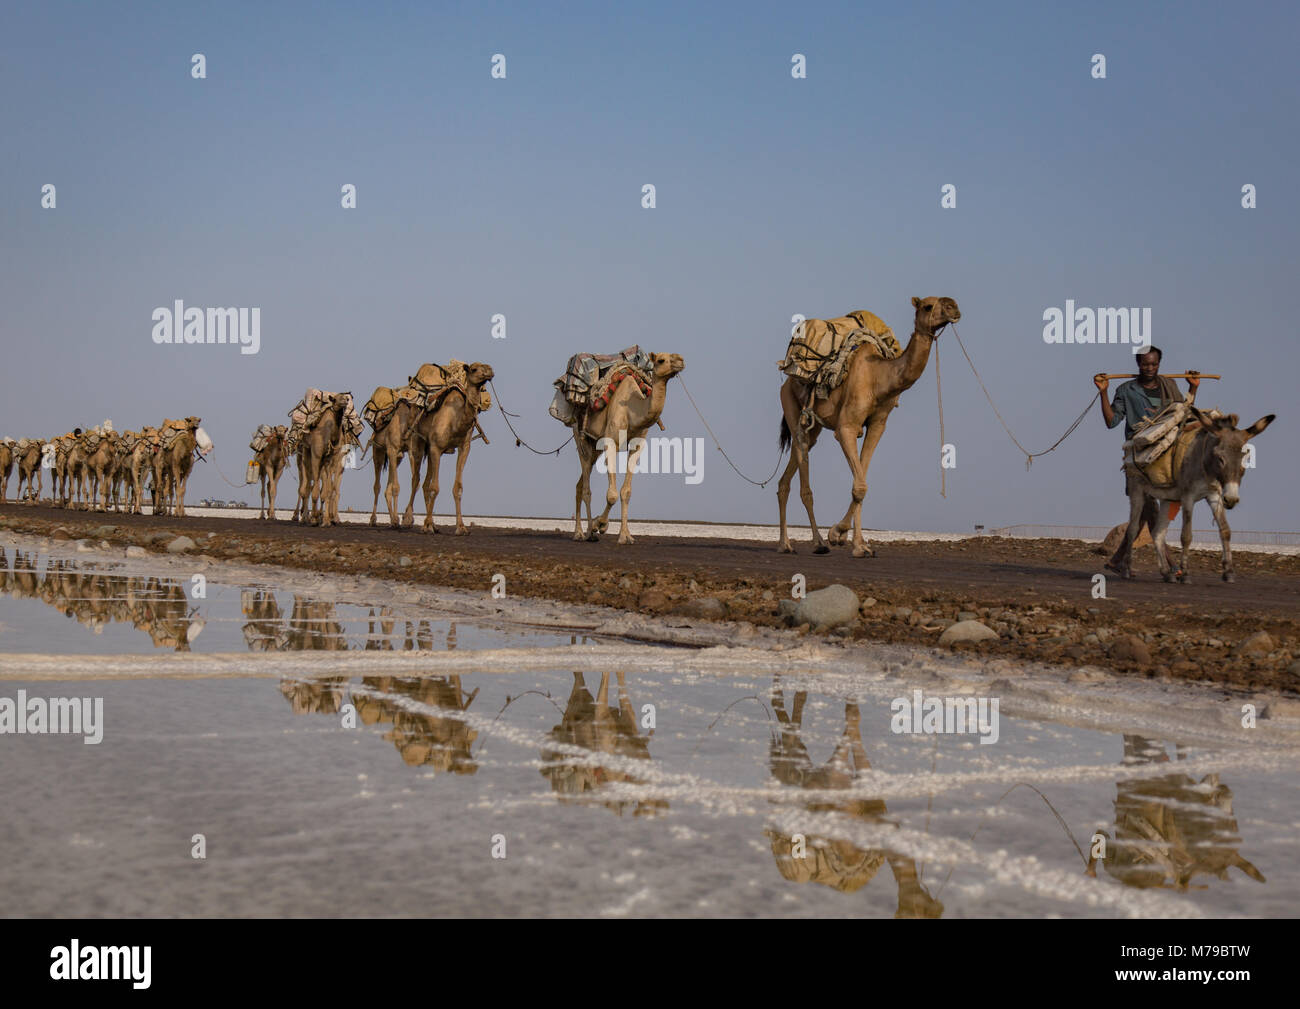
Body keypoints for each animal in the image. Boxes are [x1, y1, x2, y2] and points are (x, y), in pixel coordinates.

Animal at [400, 364, 491, 535]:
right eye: (474, 369)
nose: (489, 371)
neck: (457, 421)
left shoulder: (464, 448)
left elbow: (457, 487)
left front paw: (461, 527)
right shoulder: (436, 447)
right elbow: (434, 487)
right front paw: (427, 526)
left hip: (430, 450)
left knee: (424, 483)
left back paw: (431, 524)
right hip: (417, 441)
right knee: (416, 479)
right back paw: (408, 520)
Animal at [572, 353, 691, 543]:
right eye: (661, 360)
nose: (680, 360)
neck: (632, 409)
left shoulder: (637, 445)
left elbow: (626, 492)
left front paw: (625, 536)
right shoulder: (611, 442)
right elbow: (612, 494)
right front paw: (600, 524)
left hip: (595, 446)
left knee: (579, 484)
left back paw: (582, 532)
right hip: (580, 438)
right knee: (586, 489)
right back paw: (586, 533)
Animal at [774, 291, 961, 559]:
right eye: (927, 306)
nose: (953, 307)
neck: (878, 378)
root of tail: (786, 377)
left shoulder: (878, 425)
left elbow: (860, 483)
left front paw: (860, 545)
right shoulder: (846, 428)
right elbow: (860, 485)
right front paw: (837, 534)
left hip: (814, 428)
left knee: (788, 475)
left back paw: (785, 543)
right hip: (790, 404)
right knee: (804, 482)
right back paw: (816, 543)